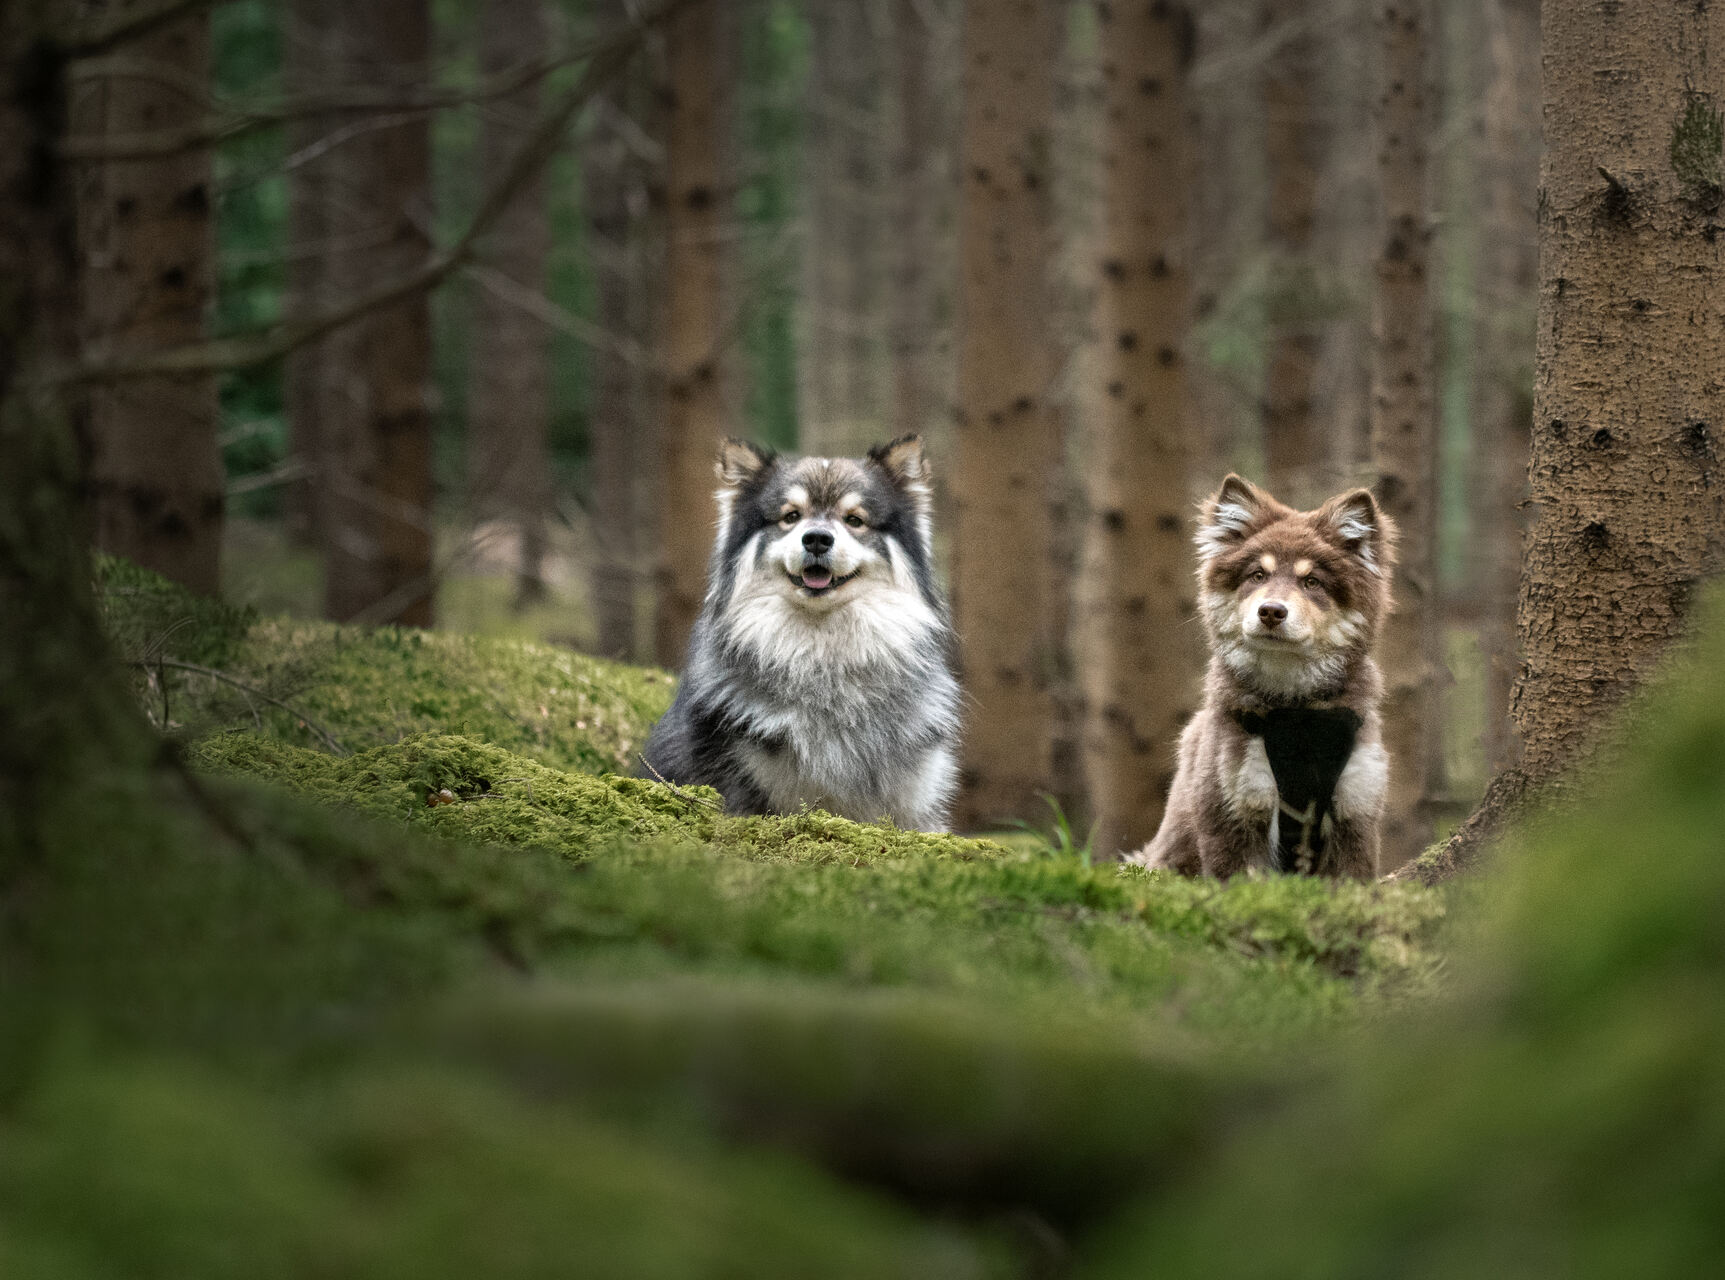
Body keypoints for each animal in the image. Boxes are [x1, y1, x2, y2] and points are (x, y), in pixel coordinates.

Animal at [1131, 472, 1400, 883]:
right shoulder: (1232, 811)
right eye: (1258, 575)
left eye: (1312, 582)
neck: (1295, 712)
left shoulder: (1356, 808)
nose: (1271, 611)